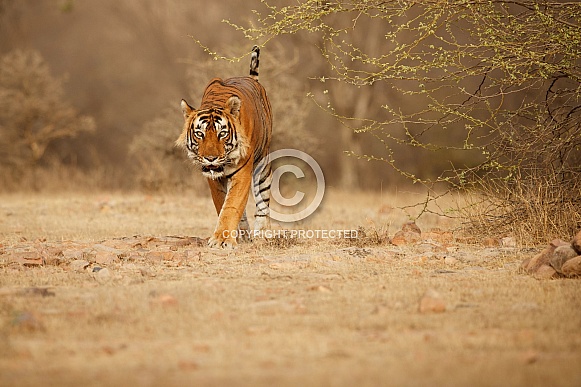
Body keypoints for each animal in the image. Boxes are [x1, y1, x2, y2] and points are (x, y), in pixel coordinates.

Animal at [174, 45, 272, 250]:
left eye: (222, 133)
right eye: (200, 134)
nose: (210, 158)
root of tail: (252, 79)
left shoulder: (243, 171)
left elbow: (232, 205)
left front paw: (222, 240)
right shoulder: (213, 178)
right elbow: (222, 204)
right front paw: (228, 236)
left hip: (263, 165)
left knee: (263, 201)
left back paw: (262, 234)